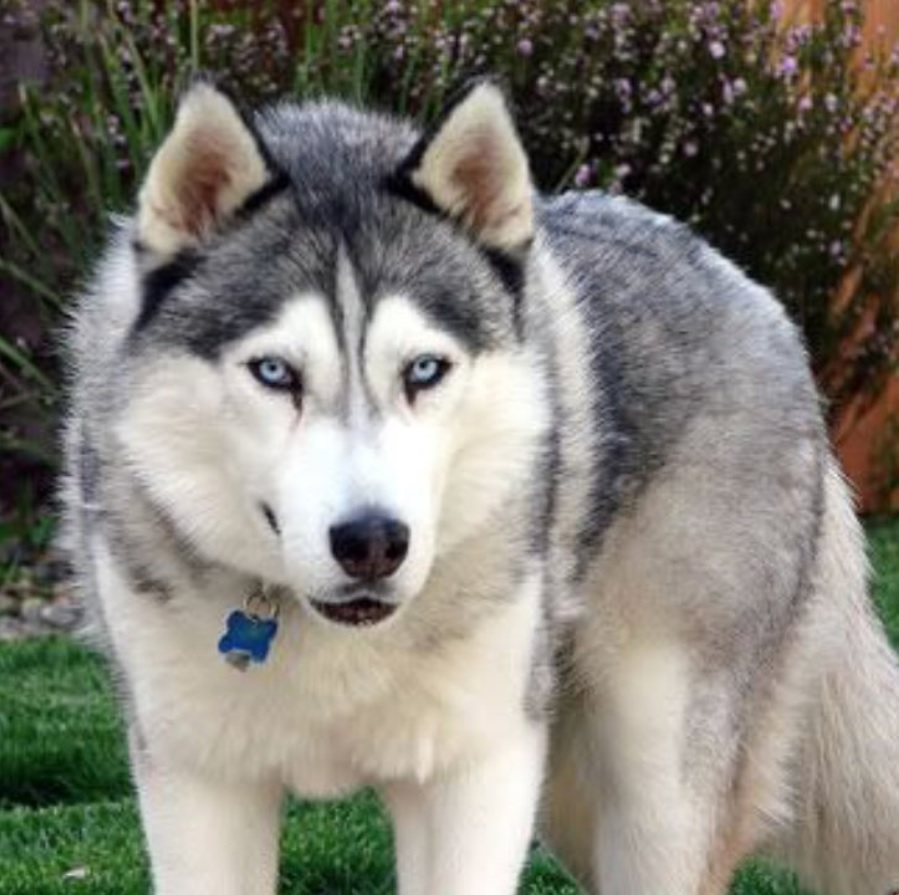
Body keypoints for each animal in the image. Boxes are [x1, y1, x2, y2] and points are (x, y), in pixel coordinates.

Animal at [67, 77, 899, 895]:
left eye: (424, 369)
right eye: (275, 371)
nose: (372, 541)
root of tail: (743, 283)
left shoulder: (477, 768)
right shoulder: (198, 781)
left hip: (655, 780)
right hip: (575, 796)